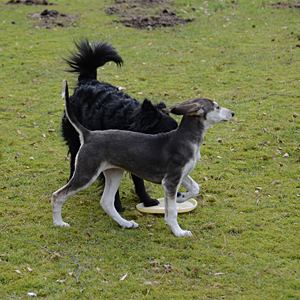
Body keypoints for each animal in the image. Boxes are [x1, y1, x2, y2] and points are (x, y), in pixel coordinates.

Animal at [52, 82, 234, 237]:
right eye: (217, 107)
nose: (232, 113)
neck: (186, 138)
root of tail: (89, 134)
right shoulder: (170, 180)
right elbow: (172, 212)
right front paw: (178, 231)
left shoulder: (180, 175)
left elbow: (195, 188)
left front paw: (181, 197)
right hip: (87, 174)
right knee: (57, 195)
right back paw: (59, 223)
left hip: (114, 173)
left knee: (107, 202)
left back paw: (125, 223)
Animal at [61, 39, 178, 212]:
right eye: (168, 134)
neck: (127, 122)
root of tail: (88, 80)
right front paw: (116, 206)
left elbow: (139, 182)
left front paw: (147, 201)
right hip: (75, 139)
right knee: (73, 161)